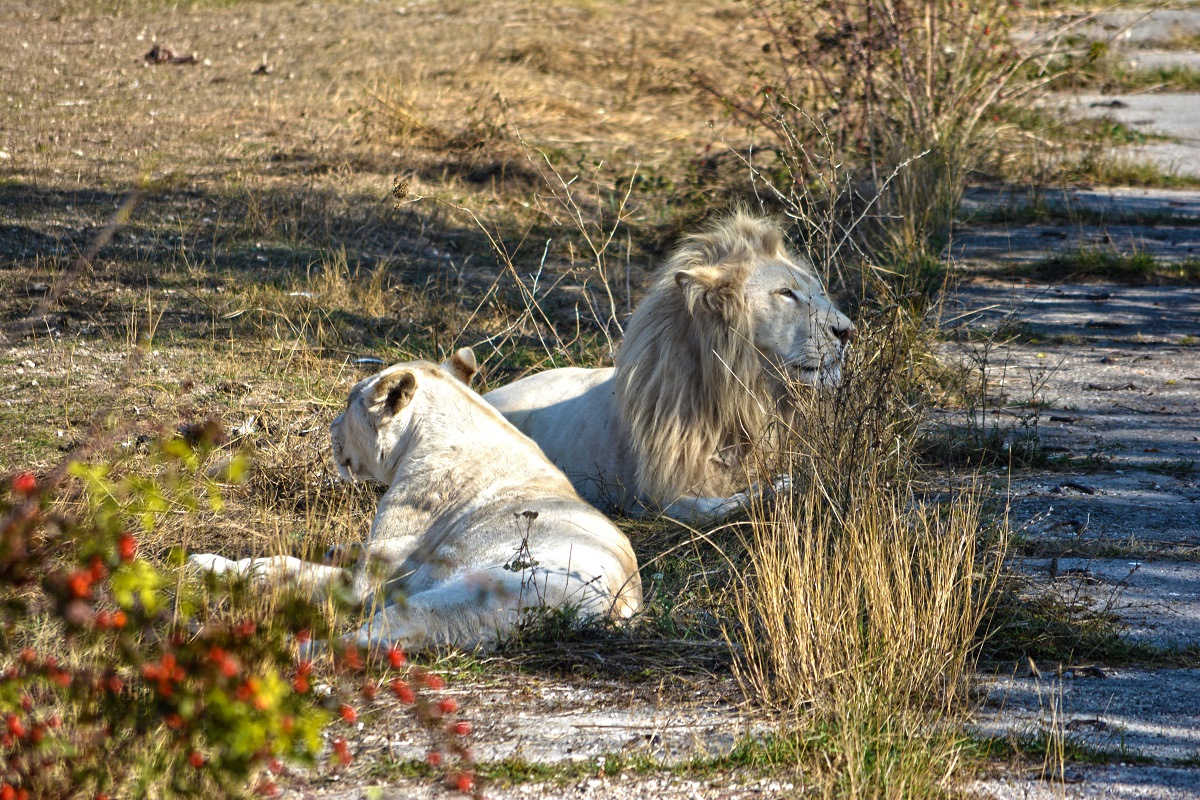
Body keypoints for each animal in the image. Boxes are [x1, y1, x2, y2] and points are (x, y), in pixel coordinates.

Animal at [186, 347, 638, 652]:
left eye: (348, 402)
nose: (331, 427)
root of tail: (614, 613)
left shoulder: (368, 579)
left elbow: (286, 568)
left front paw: (208, 564)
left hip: (458, 596)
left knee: (360, 642)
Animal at [484, 212, 854, 525]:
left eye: (819, 292)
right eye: (786, 293)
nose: (847, 331)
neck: (746, 396)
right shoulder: (657, 496)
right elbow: (710, 509)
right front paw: (775, 488)